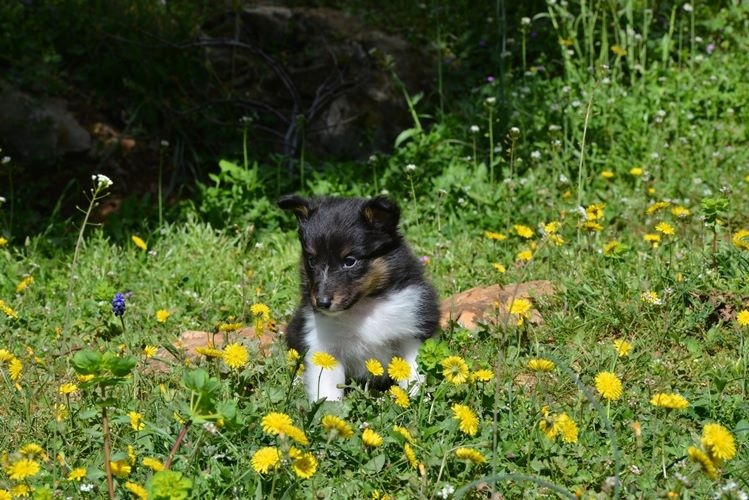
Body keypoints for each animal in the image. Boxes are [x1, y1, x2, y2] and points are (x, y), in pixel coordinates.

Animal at [280, 195, 442, 402]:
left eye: (350, 261)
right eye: (312, 260)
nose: (322, 302)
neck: (364, 305)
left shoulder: (410, 330)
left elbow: (411, 370)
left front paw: (416, 399)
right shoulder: (324, 345)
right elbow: (327, 389)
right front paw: (328, 410)